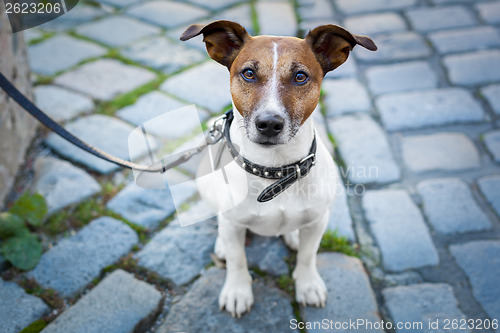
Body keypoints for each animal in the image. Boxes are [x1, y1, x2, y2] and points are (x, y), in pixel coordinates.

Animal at [180, 20, 376, 316]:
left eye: (300, 76)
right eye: (248, 73)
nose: (269, 123)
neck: (274, 171)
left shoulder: (318, 221)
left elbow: (308, 256)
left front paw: (308, 285)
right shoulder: (234, 225)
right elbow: (238, 260)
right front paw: (237, 291)